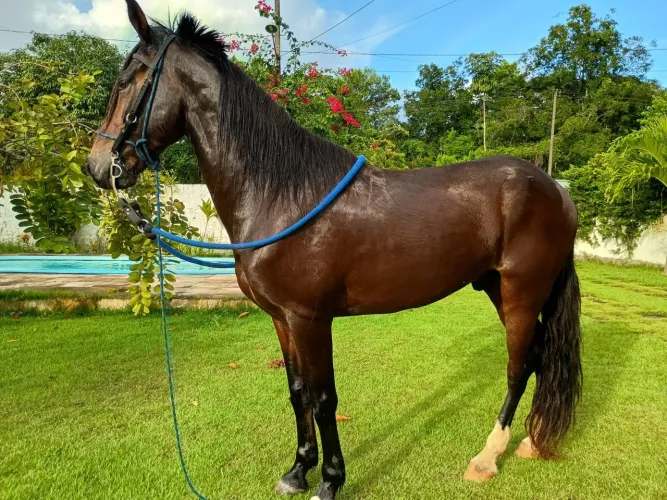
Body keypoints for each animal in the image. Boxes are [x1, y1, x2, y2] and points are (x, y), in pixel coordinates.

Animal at [86, 1, 582, 498]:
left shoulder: (310, 319)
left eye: (127, 80)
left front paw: (330, 480)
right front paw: (297, 471)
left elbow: (324, 398)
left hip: (521, 293)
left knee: (519, 364)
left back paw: (486, 458)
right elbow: (297, 392)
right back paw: (531, 442)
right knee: (539, 357)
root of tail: (557, 191)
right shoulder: (282, 319)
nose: (97, 166)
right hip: (497, 288)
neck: (282, 195)